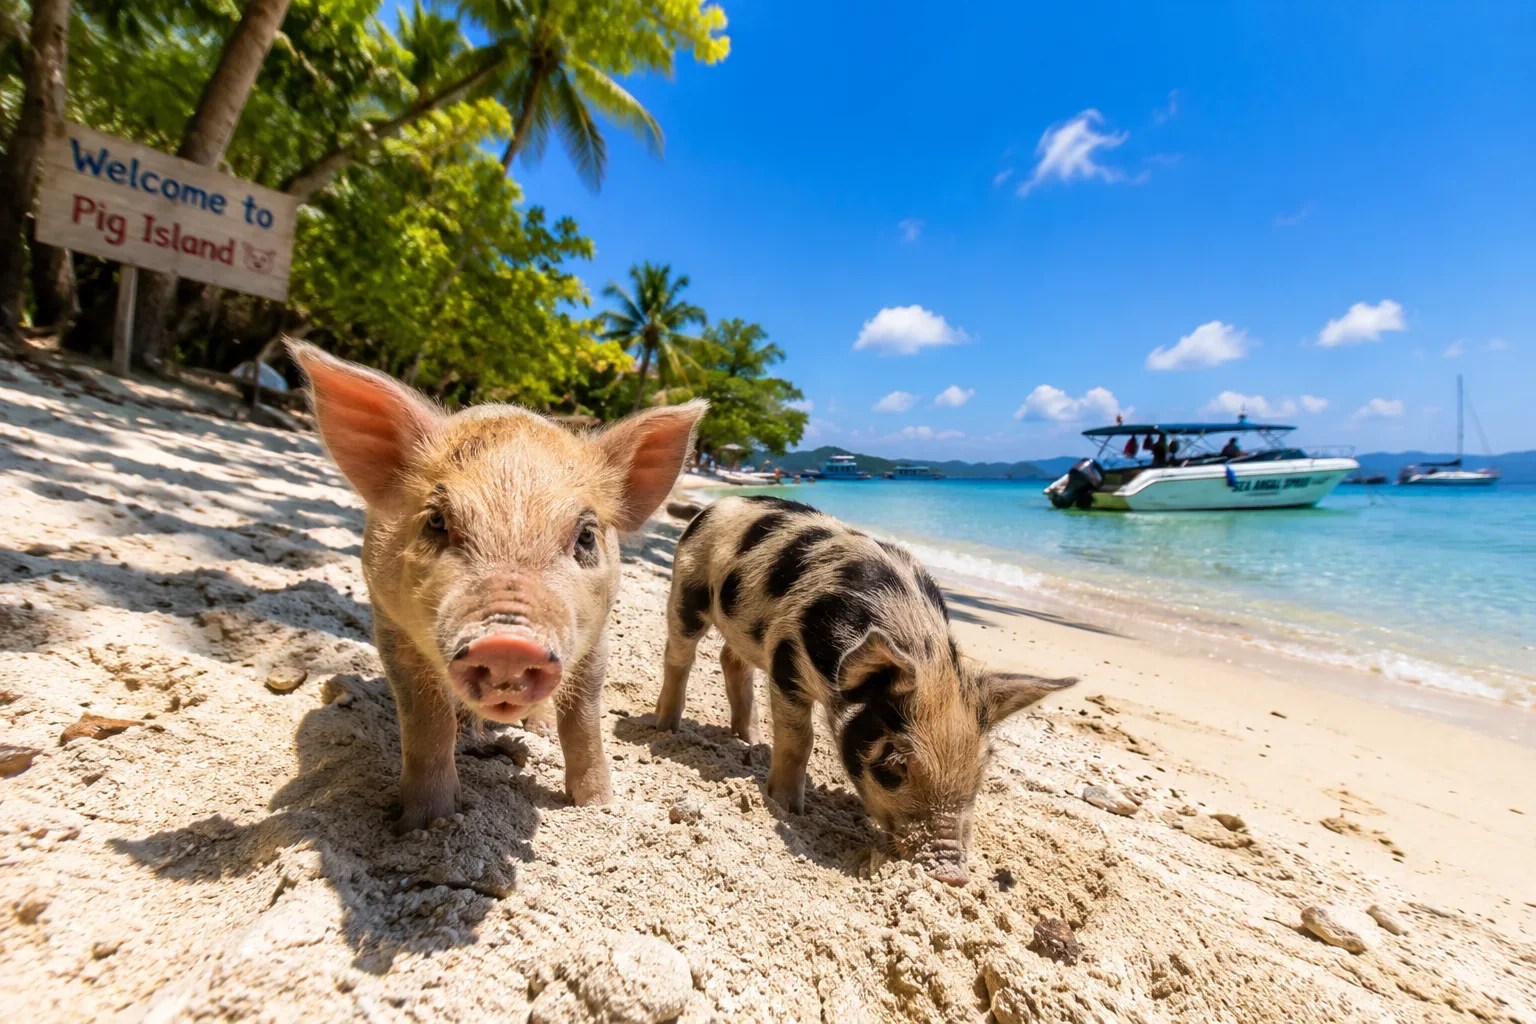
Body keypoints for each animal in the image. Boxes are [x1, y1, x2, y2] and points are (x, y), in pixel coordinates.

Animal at [290, 342, 706, 831]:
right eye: (436, 521)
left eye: (586, 535)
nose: (508, 643)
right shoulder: (388, 621)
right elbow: (426, 720)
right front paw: (426, 824)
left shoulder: (598, 634)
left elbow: (584, 717)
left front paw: (599, 806)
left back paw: (535, 729)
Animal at [657, 495, 1076, 884]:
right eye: (895, 764)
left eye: (980, 769)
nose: (953, 873)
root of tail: (715, 505)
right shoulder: (785, 657)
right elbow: (800, 741)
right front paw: (788, 809)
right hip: (688, 587)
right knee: (679, 654)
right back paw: (665, 729)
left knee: (731, 659)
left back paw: (748, 739)